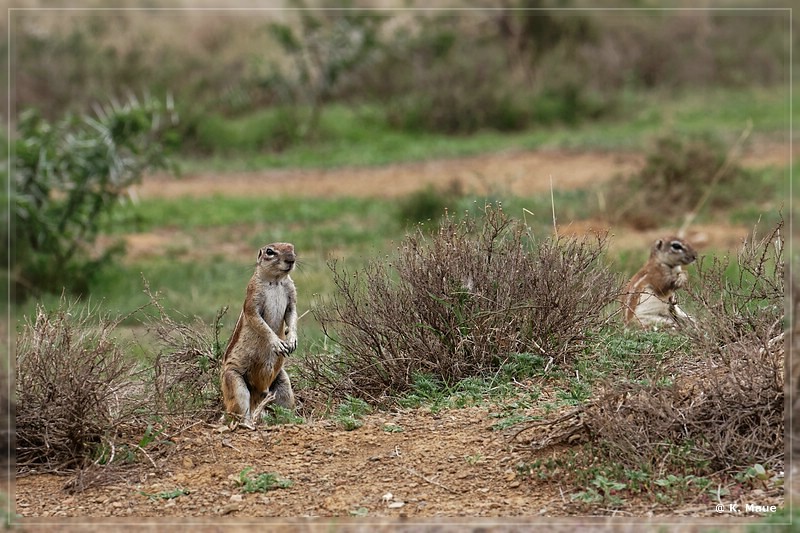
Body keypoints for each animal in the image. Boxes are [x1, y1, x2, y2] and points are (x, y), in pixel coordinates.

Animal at [220, 241, 298, 428]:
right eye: (270, 252)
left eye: (292, 248)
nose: (291, 259)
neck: (276, 281)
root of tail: (258, 394)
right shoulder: (252, 298)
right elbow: (260, 323)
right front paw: (277, 342)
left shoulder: (291, 295)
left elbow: (292, 315)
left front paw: (291, 340)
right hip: (235, 383)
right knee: (237, 413)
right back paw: (248, 425)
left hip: (283, 383)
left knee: (284, 405)